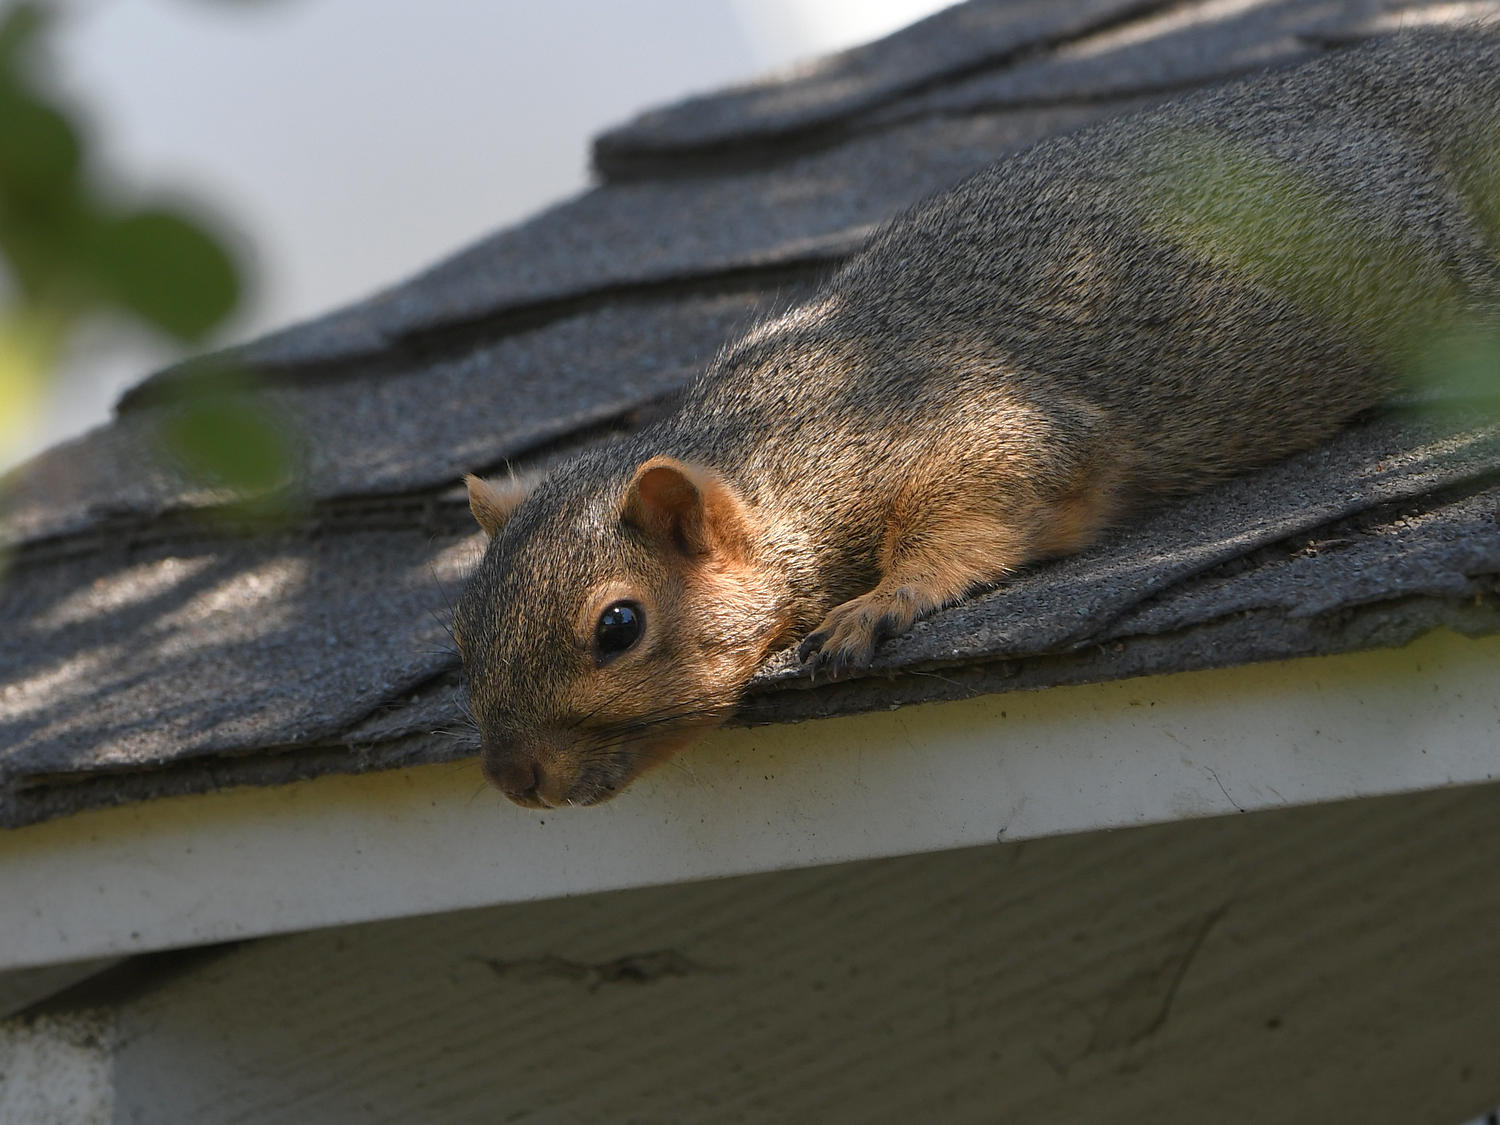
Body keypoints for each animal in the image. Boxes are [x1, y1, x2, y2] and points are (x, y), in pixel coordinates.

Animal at [453, 28, 1500, 809]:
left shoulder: (972, 423)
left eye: (619, 626)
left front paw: (878, 603)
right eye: (460, 631)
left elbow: (996, 495)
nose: (512, 778)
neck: (780, 452)